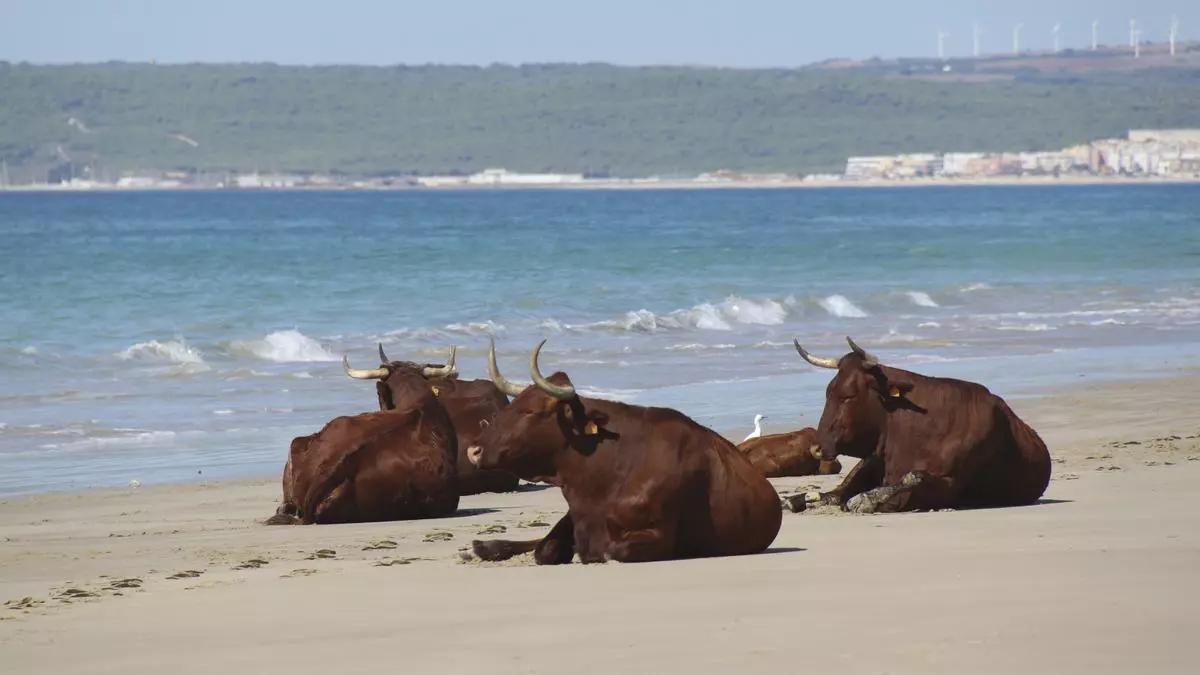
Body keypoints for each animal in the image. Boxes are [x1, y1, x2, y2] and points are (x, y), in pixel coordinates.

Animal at [463, 336, 782, 562]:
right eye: (514, 404)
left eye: (531, 411)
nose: (474, 450)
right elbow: (545, 549)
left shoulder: (658, 535)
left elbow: (611, 550)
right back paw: (482, 546)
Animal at [796, 333, 1051, 511]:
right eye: (828, 392)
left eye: (848, 395)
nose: (816, 448)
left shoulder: (950, 484)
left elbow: (911, 480)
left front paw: (866, 499)